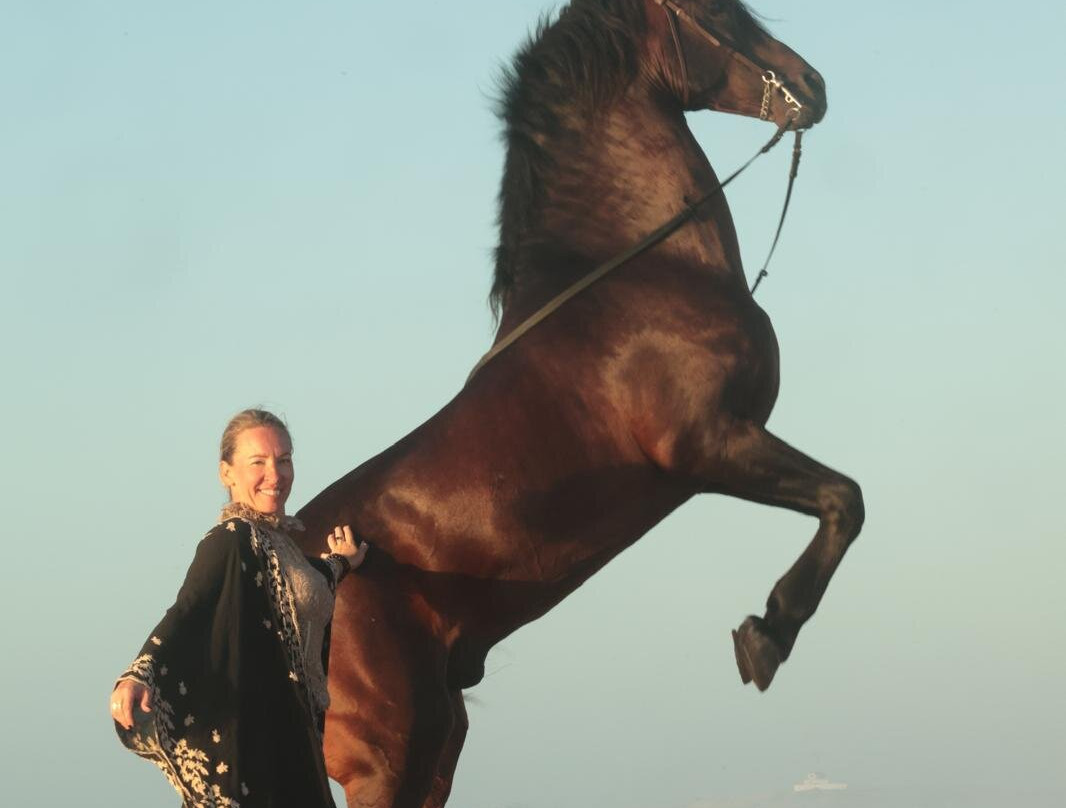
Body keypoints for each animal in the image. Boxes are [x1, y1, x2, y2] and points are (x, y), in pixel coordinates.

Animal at [296, 2, 862, 806]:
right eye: (717, 14)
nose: (812, 87)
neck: (645, 274)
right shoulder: (709, 447)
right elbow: (845, 500)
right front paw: (766, 636)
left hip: (438, 742)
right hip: (388, 750)